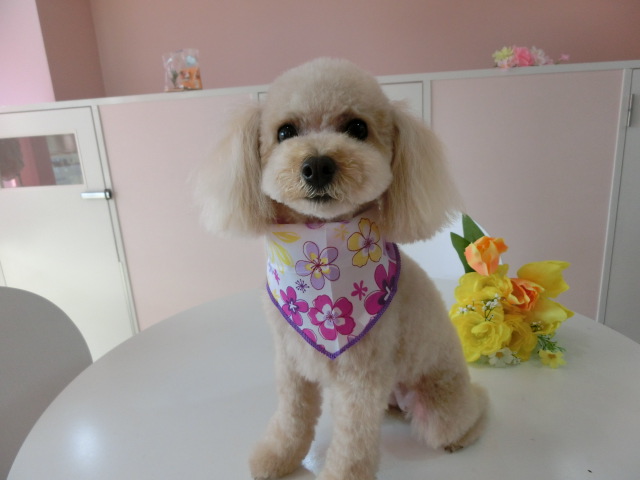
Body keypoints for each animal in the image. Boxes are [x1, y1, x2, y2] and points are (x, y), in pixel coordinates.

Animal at [195, 58, 488, 480]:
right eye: (285, 132)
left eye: (357, 128)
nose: (317, 165)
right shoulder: (291, 362)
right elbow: (292, 417)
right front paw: (279, 456)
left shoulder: (360, 379)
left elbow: (352, 443)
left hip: (438, 404)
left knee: (466, 415)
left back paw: (465, 429)